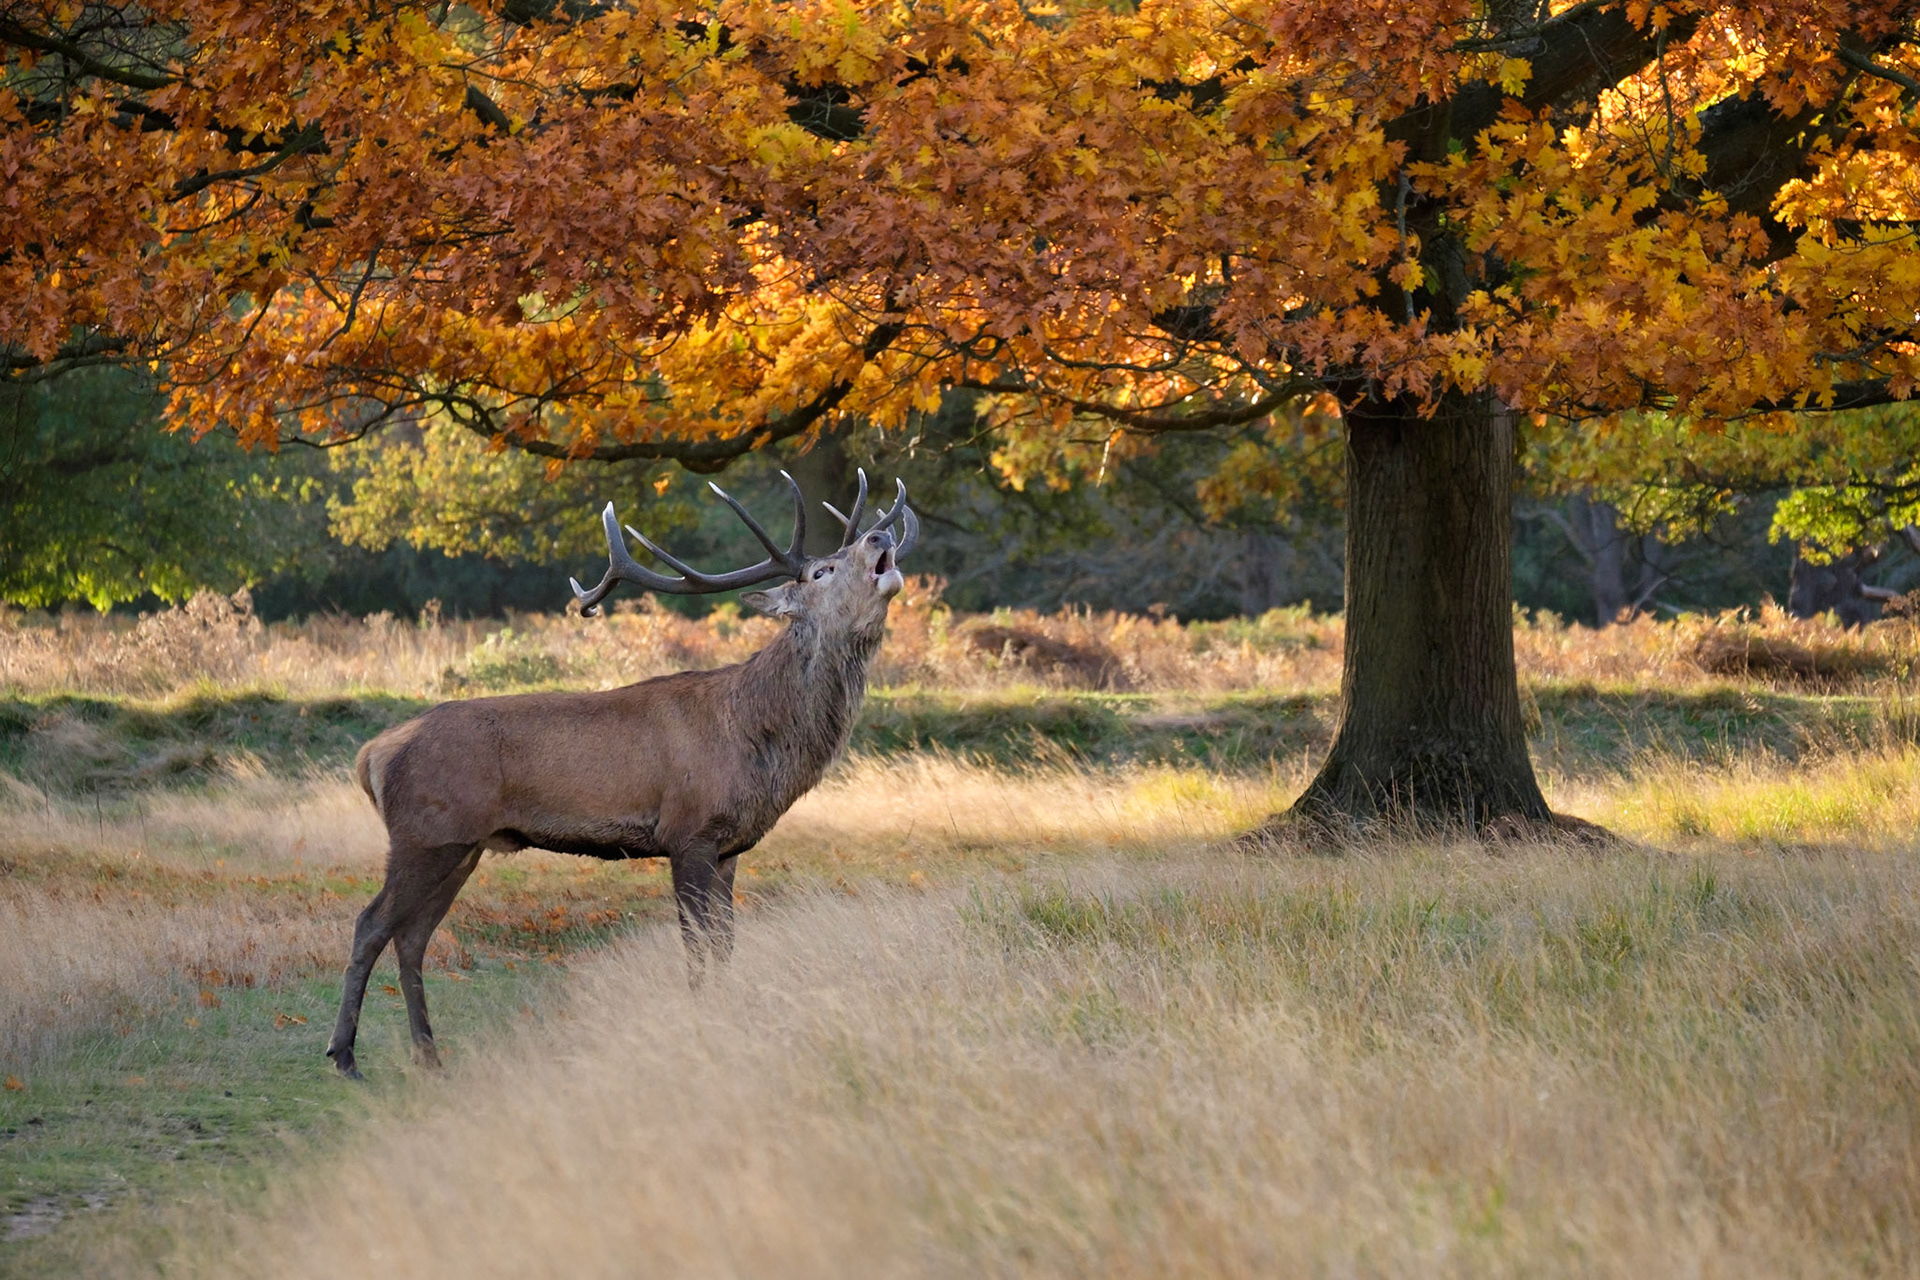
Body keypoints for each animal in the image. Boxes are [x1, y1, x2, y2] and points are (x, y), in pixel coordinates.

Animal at [324, 470, 919, 1078]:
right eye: (822, 571)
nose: (879, 535)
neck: (755, 736)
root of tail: (372, 754)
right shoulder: (688, 833)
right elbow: (696, 945)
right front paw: (701, 1022)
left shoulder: (731, 846)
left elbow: (726, 943)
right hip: (424, 835)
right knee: (371, 924)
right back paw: (345, 1055)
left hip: (461, 846)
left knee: (412, 936)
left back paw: (428, 1055)